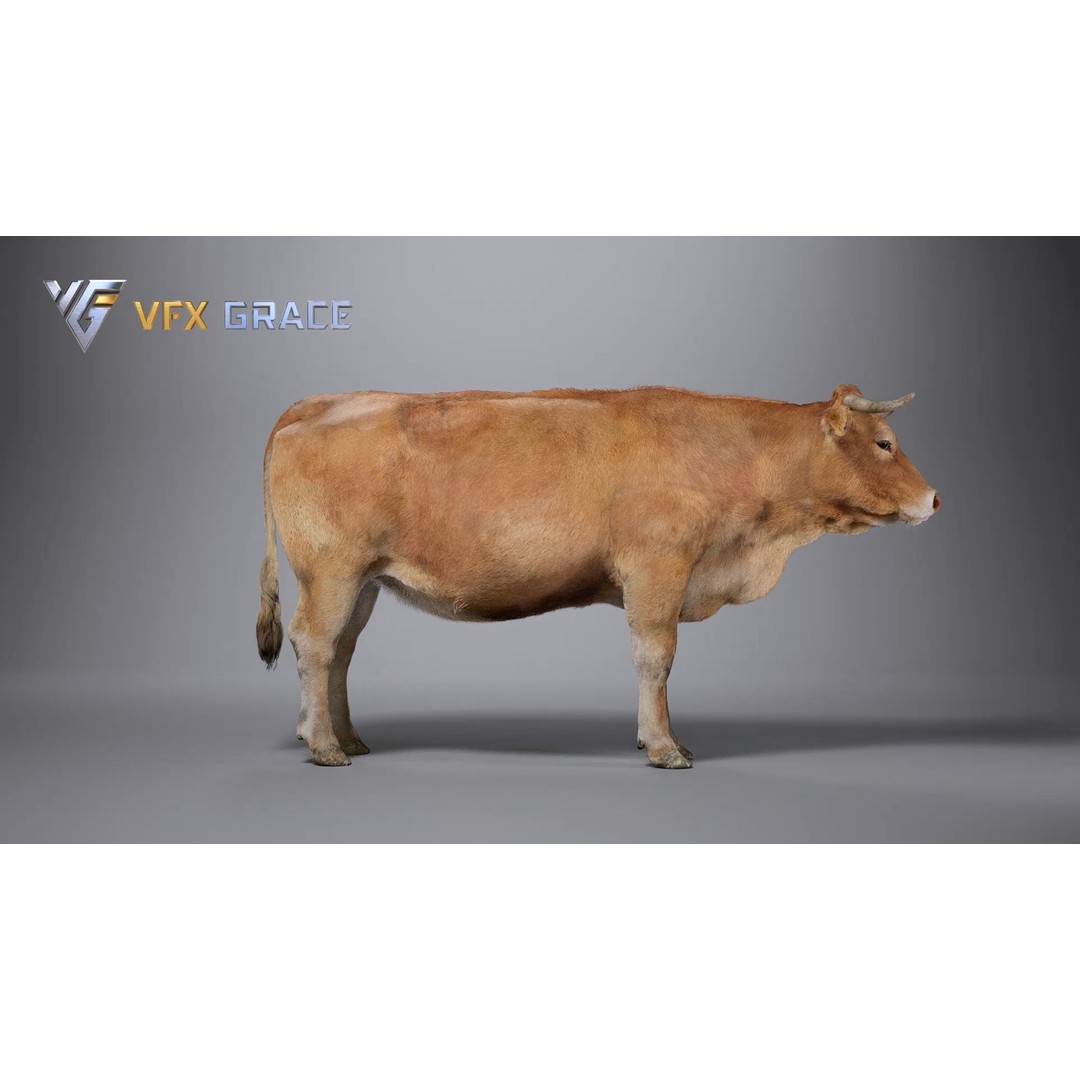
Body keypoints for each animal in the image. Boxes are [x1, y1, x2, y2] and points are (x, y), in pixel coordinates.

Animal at [256, 385, 939, 768]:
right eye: (884, 442)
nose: (935, 499)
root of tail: (314, 404)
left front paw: (658, 739)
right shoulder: (657, 567)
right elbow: (655, 658)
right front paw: (664, 748)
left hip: (364, 581)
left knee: (340, 651)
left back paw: (347, 738)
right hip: (332, 570)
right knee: (315, 644)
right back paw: (323, 747)